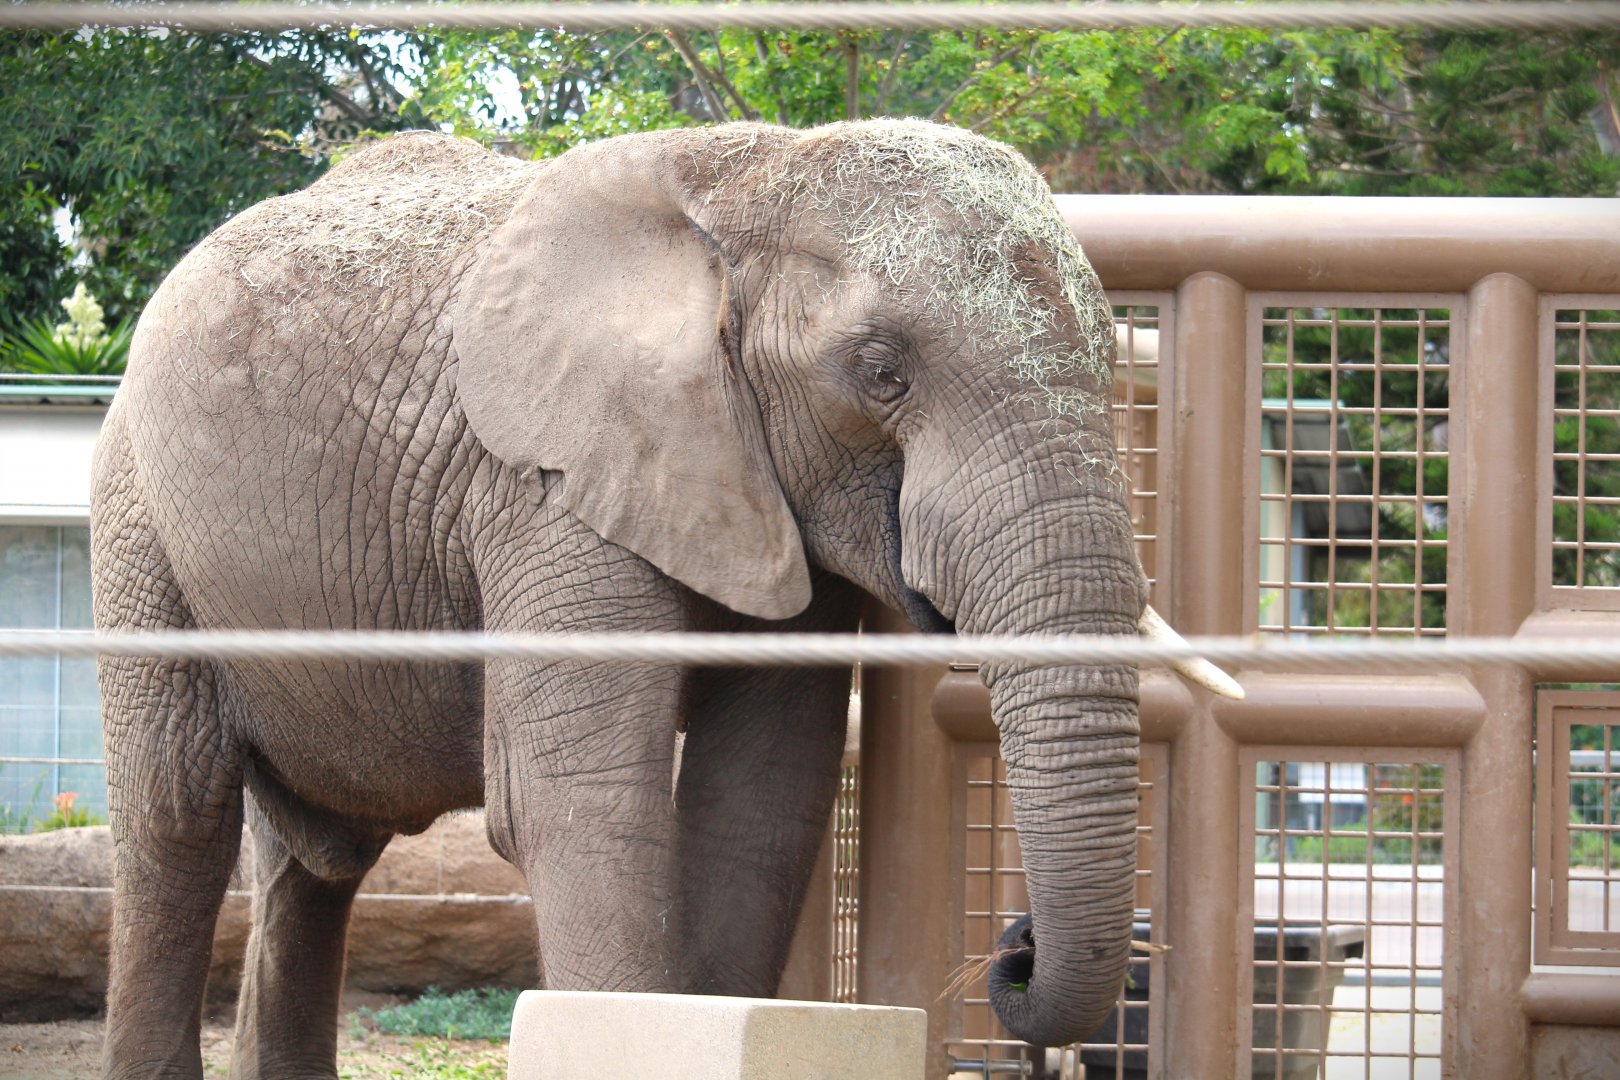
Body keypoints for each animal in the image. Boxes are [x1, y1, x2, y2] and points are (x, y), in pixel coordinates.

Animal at [89, 118, 1233, 1078]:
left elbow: (758, 805)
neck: (752, 182)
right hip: (136, 520)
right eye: (881, 373)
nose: (1018, 944)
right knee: (177, 816)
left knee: (311, 864)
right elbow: (588, 797)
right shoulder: (545, 484)